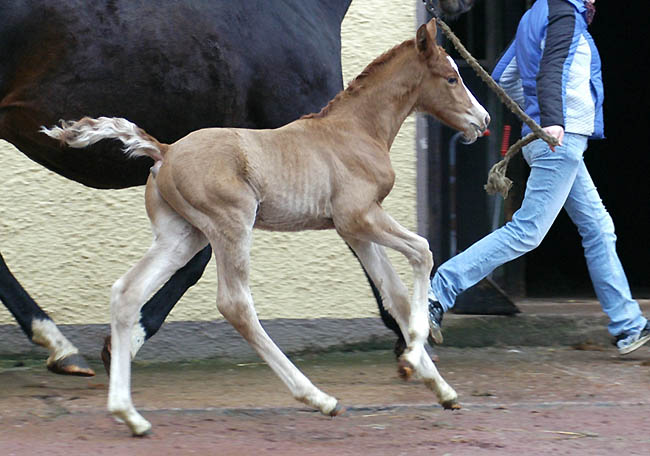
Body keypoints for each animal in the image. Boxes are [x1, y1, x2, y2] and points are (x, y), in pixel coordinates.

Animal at [41, 19, 486, 436]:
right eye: (451, 77)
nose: (482, 120)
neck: (354, 131)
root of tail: (163, 151)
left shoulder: (355, 230)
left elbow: (395, 295)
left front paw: (440, 387)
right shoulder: (359, 216)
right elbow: (423, 250)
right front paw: (414, 354)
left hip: (182, 236)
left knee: (127, 292)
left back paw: (129, 415)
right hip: (231, 224)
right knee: (235, 304)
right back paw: (319, 397)